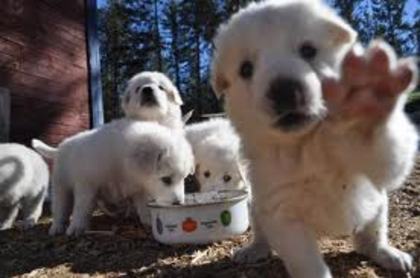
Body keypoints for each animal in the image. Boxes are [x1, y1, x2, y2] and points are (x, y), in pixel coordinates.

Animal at [32, 120, 194, 236]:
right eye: (166, 179)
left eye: (184, 178)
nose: (179, 203)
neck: (122, 162)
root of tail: (59, 148)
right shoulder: (87, 185)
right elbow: (81, 207)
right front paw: (76, 227)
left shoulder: (139, 189)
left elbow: (142, 205)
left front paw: (148, 220)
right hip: (61, 185)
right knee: (60, 207)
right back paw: (57, 227)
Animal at [212, 0, 418, 276]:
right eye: (246, 69)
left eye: (308, 50)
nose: (284, 91)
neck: (305, 144)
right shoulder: (281, 213)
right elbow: (305, 260)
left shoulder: (371, 167)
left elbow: (385, 158)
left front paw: (363, 105)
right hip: (256, 208)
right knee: (261, 235)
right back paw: (253, 250)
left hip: (378, 206)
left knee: (369, 240)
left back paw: (389, 254)